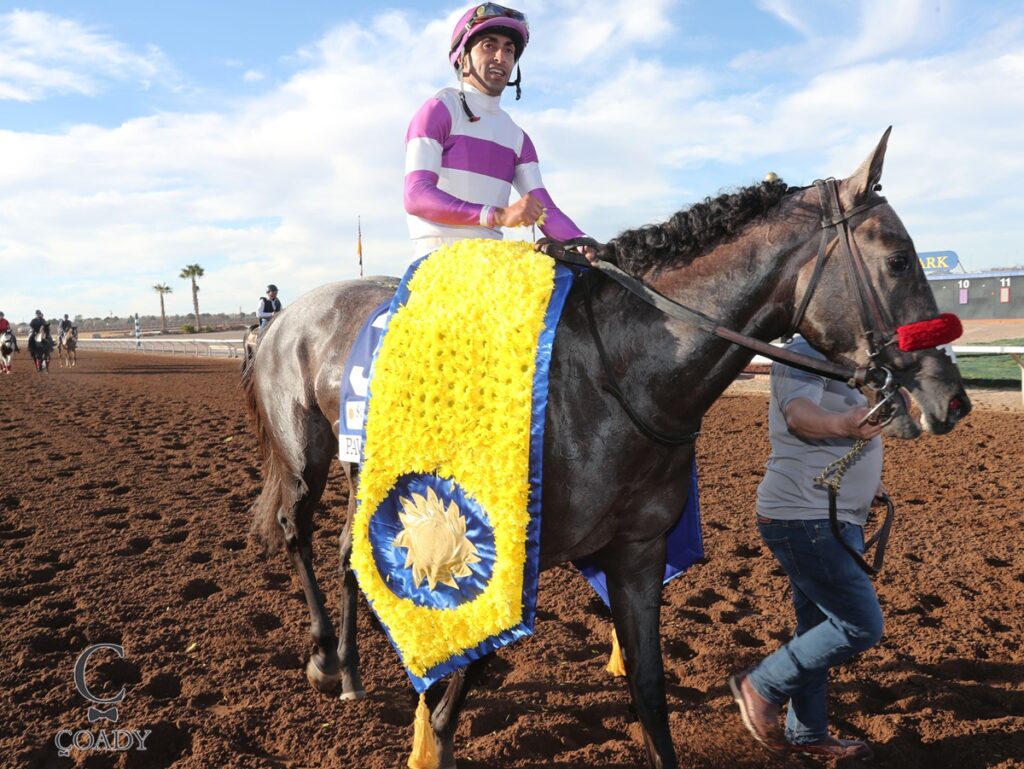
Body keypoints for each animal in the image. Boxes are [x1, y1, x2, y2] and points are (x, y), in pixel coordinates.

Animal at [241, 130, 971, 768]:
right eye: (899, 258)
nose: (953, 399)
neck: (610, 373)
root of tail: (284, 317)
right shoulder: (505, 550)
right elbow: (460, 689)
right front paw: (430, 736)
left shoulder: (638, 553)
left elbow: (648, 688)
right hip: (306, 455)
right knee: (299, 530)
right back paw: (323, 658)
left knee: (348, 548)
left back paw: (351, 669)